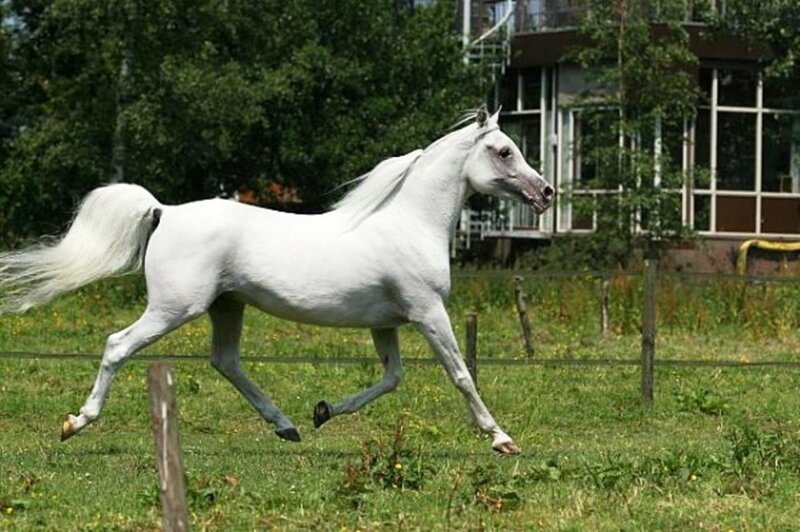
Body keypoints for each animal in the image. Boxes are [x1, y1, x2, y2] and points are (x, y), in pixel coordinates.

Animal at [0, 108, 554, 454]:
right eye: (504, 151)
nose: (546, 192)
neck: (409, 223)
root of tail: (164, 210)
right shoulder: (427, 312)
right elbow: (460, 374)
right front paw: (502, 439)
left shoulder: (387, 322)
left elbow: (392, 378)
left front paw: (324, 411)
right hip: (175, 308)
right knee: (118, 345)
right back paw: (76, 422)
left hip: (227, 305)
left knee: (226, 362)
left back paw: (287, 426)